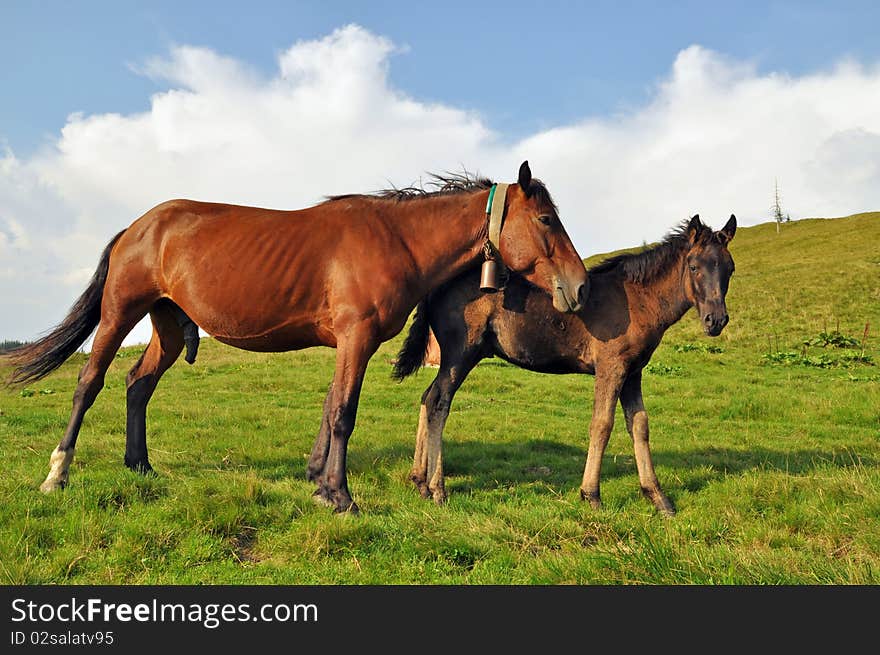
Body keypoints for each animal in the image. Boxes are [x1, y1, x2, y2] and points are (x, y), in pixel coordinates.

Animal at [8, 161, 584, 516]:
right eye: (546, 219)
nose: (579, 286)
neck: (395, 239)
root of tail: (137, 226)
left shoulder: (350, 344)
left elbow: (330, 408)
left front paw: (321, 484)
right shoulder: (356, 338)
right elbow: (344, 413)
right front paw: (341, 496)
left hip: (167, 326)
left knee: (137, 385)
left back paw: (140, 466)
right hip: (119, 313)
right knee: (89, 383)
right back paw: (57, 473)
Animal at [394, 215, 736, 516]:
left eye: (730, 269)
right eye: (694, 266)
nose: (716, 321)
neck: (640, 300)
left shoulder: (633, 373)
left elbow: (639, 426)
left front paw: (658, 498)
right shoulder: (611, 368)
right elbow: (602, 424)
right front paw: (591, 495)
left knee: (427, 397)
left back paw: (419, 481)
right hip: (460, 354)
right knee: (438, 402)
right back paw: (437, 489)